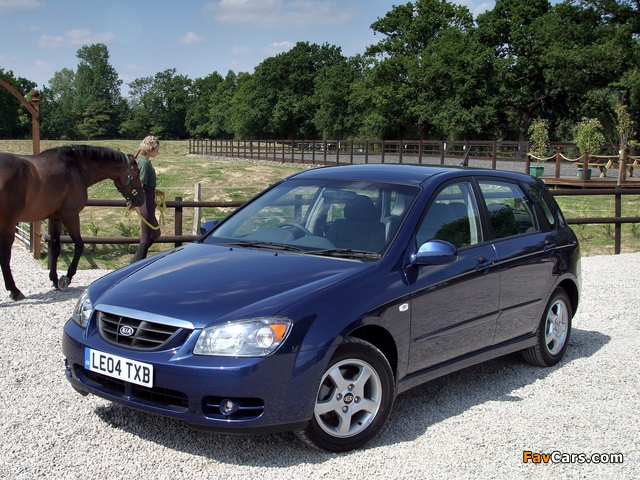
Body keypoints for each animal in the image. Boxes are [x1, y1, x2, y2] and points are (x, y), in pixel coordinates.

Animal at [0, 144, 144, 300]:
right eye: (137, 172)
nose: (140, 200)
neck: (75, 167)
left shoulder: (56, 218)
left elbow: (55, 248)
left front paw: (55, 280)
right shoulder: (71, 216)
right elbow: (79, 245)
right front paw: (66, 278)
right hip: (8, 223)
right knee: (5, 255)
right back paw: (15, 291)